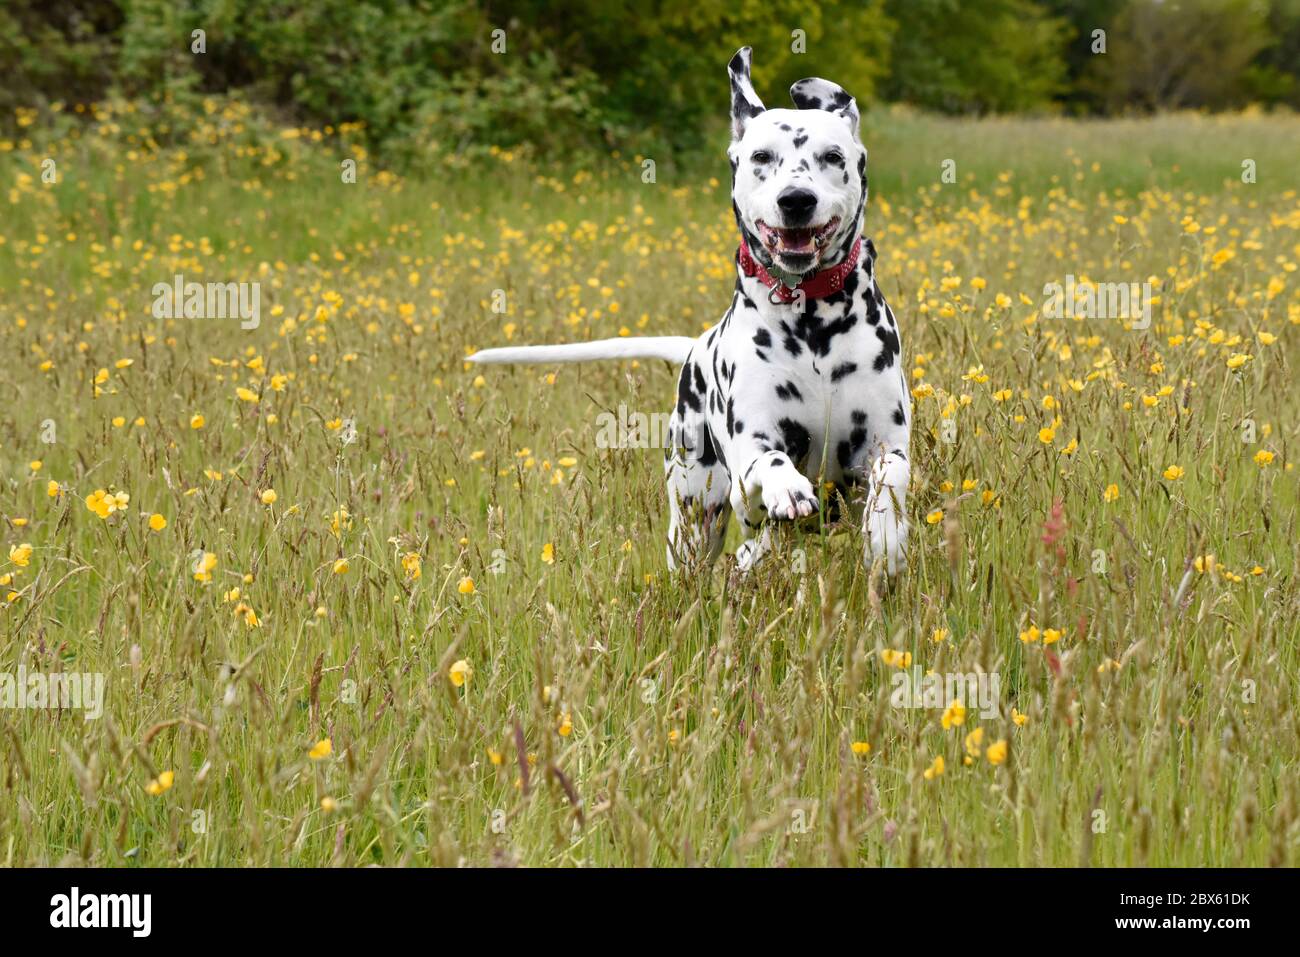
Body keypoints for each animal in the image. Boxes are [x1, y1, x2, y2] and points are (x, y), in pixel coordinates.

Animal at [465, 46, 904, 574]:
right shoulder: (748, 473)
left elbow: (891, 478)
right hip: (695, 520)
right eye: (761, 157)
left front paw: (887, 538)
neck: (810, 321)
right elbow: (769, 464)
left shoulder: (884, 445)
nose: (796, 200)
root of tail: (695, 346)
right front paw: (788, 488)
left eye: (832, 157)